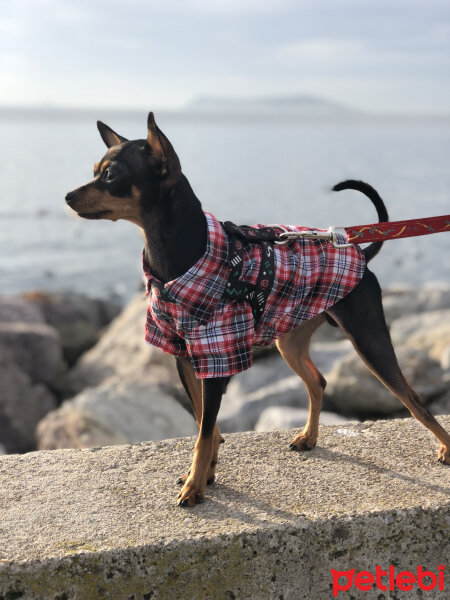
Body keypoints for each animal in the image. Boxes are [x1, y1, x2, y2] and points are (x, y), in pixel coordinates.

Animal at [67, 111, 450, 506]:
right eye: (95, 170)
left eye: (111, 176)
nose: (67, 196)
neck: (180, 255)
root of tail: (359, 252)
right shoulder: (184, 357)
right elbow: (205, 424)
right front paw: (205, 474)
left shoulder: (217, 357)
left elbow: (205, 431)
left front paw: (195, 485)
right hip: (290, 339)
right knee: (318, 380)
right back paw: (309, 437)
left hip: (368, 339)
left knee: (414, 400)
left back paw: (445, 448)